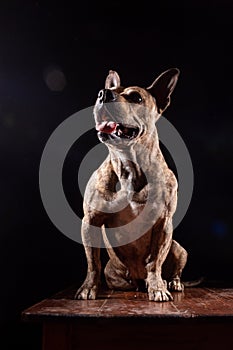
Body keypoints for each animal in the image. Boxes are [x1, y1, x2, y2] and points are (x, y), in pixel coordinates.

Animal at [74, 68, 187, 300]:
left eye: (136, 97)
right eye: (105, 90)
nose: (103, 94)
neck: (130, 164)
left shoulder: (163, 223)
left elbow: (155, 261)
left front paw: (158, 288)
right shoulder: (90, 220)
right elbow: (93, 262)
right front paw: (88, 288)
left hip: (179, 248)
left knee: (172, 268)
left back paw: (172, 282)